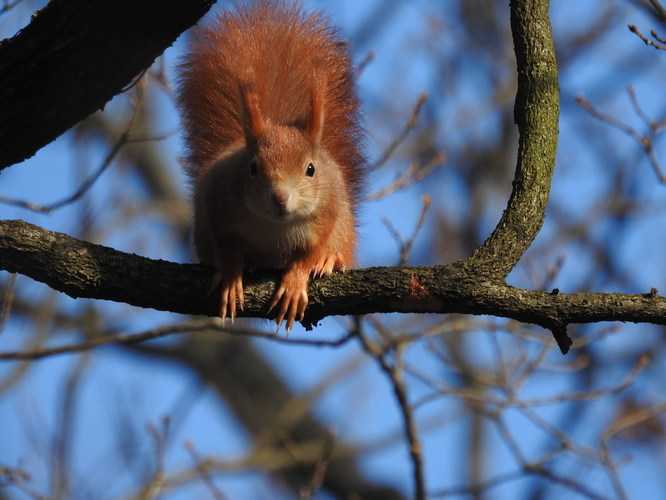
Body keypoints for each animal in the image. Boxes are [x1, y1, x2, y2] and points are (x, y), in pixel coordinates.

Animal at [176, 0, 364, 332]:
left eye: (311, 169)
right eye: (252, 168)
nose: (279, 197)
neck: (274, 226)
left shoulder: (325, 214)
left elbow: (307, 253)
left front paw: (295, 282)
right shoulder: (218, 201)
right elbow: (226, 247)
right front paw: (232, 276)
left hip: (344, 228)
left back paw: (331, 259)